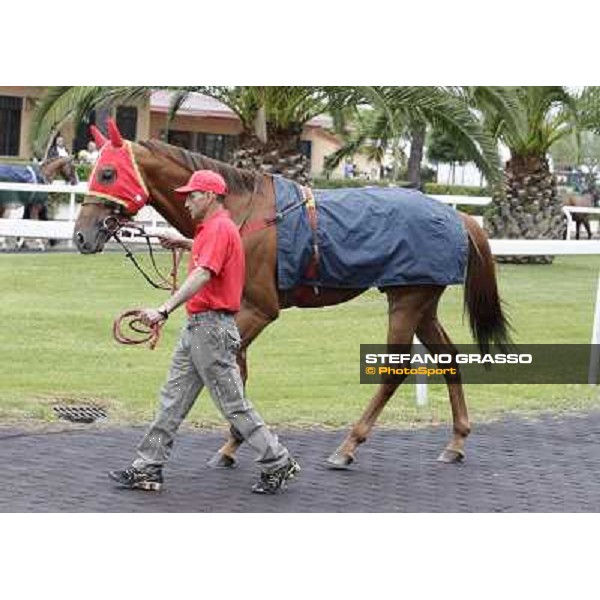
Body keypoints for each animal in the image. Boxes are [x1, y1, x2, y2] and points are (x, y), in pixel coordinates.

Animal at [72, 120, 508, 468]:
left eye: (107, 173)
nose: (81, 235)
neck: (242, 213)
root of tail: (457, 214)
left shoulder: (259, 309)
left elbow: (232, 373)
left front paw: (237, 442)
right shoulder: (238, 311)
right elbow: (237, 372)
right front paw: (234, 444)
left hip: (407, 300)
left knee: (394, 371)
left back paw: (348, 447)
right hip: (422, 302)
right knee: (449, 357)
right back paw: (456, 441)